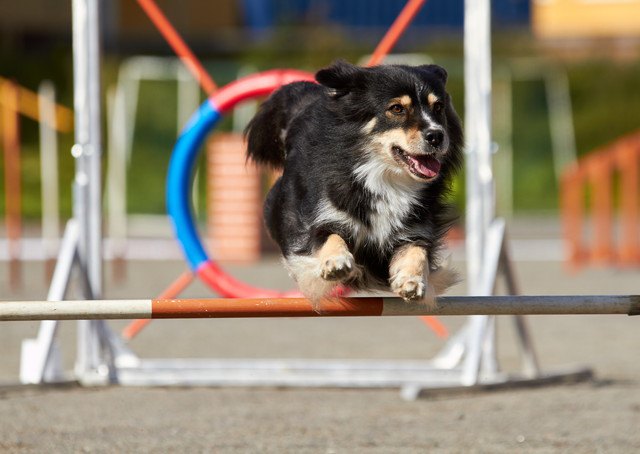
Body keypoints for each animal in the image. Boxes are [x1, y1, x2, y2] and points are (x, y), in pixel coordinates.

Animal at [244, 60, 460, 308]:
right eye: (397, 108)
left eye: (438, 107)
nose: (437, 135)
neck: (384, 178)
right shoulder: (321, 215)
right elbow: (328, 237)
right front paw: (336, 262)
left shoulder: (417, 229)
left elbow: (417, 251)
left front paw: (412, 281)